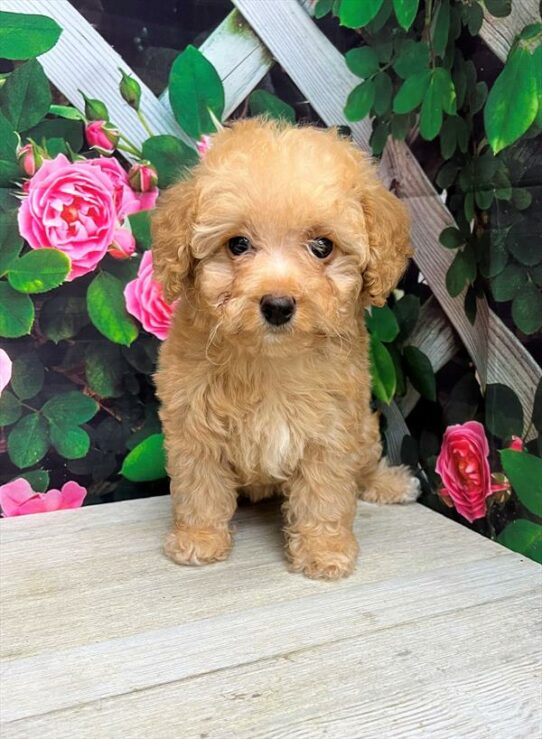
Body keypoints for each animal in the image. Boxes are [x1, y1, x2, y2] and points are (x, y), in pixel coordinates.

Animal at [153, 118, 420, 580]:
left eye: (322, 246)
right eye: (238, 244)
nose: (277, 305)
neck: (270, 360)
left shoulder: (331, 429)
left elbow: (325, 494)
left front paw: (324, 551)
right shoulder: (193, 423)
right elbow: (199, 486)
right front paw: (198, 539)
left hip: (363, 429)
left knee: (364, 465)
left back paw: (389, 482)